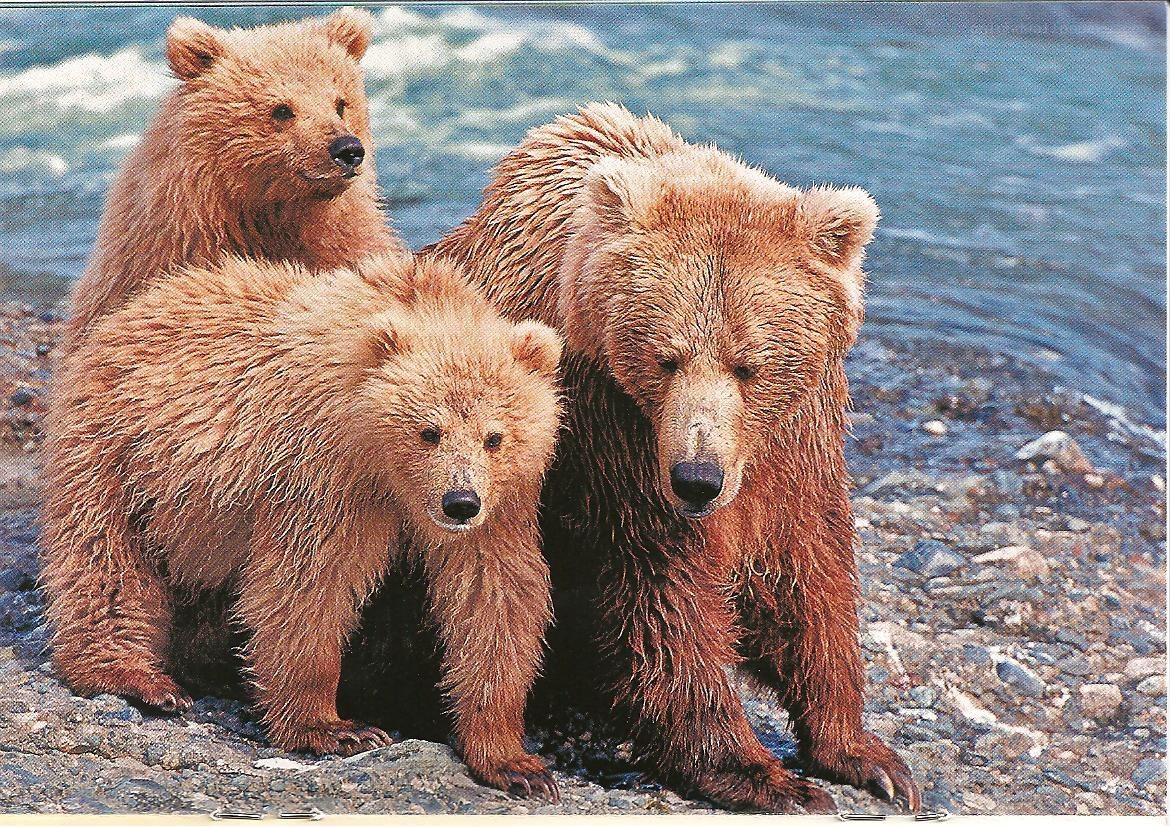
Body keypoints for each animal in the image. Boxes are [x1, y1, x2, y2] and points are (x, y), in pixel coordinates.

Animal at [40, 251, 563, 798]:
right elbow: (307, 586)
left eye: (494, 436)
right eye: (429, 430)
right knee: (105, 560)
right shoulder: (322, 471)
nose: (460, 502)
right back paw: (138, 678)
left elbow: (495, 597)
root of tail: (133, 309)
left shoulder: (505, 505)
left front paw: (513, 760)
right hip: (120, 453)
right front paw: (335, 727)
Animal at [395, 103, 919, 812]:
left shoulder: (795, 436)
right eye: (667, 357)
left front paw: (865, 756)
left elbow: (804, 567)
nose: (697, 477)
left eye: (749, 364)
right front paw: (762, 775)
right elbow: (664, 591)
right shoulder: (609, 432)